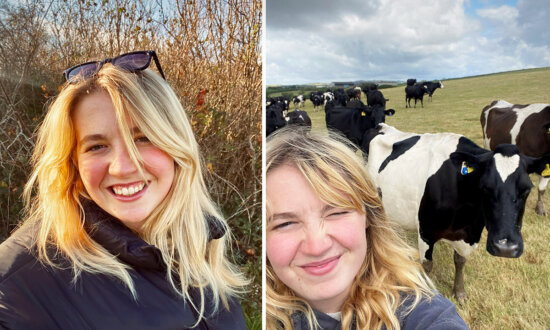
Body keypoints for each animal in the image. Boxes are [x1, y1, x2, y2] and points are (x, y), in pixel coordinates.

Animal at [366, 124, 550, 302]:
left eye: (527, 189)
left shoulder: (468, 234)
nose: (505, 248)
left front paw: (460, 292)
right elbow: (427, 266)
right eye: (485, 188)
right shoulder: (426, 231)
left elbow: (460, 260)